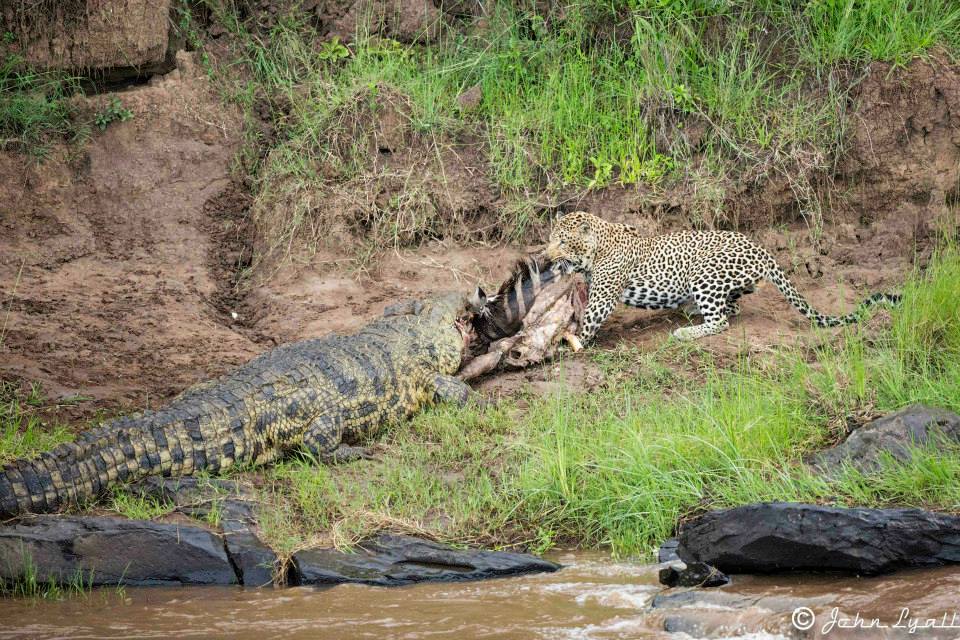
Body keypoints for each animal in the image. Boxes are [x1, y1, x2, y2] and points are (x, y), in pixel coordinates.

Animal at [544, 211, 904, 342]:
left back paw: (686, 332)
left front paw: (565, 343)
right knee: (733, 307)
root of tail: (761, 249)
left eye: (561, 241)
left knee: (721, 321)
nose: (545, 257)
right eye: (550, 238)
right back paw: (690, 312)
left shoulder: (603, 298)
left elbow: (587, 322)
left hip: (705, 273)